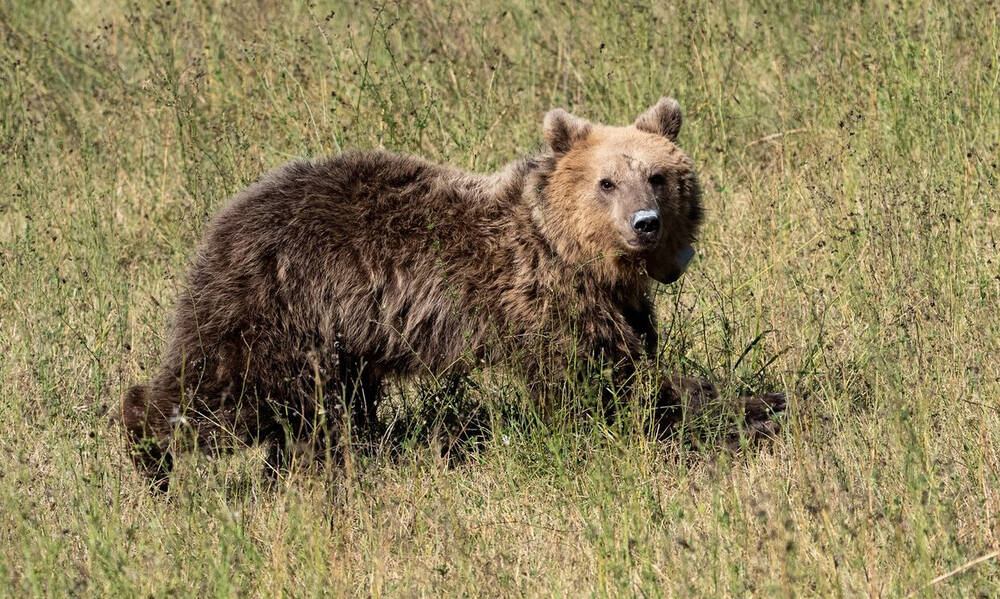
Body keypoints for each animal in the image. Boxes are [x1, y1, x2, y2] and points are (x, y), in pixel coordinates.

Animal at [121, 97, 784, 492]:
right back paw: (149, 455)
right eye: (606, 182)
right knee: (222, 393)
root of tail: (229, 214)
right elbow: (598, 391)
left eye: (659, 175)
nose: (644, 222)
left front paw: (760, 402)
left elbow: (637, 368)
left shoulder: (617, 308)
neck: (574, 255)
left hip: (336, 337)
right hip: (279, 307)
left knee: (319, 412)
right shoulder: (541, 303)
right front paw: (736, 415)